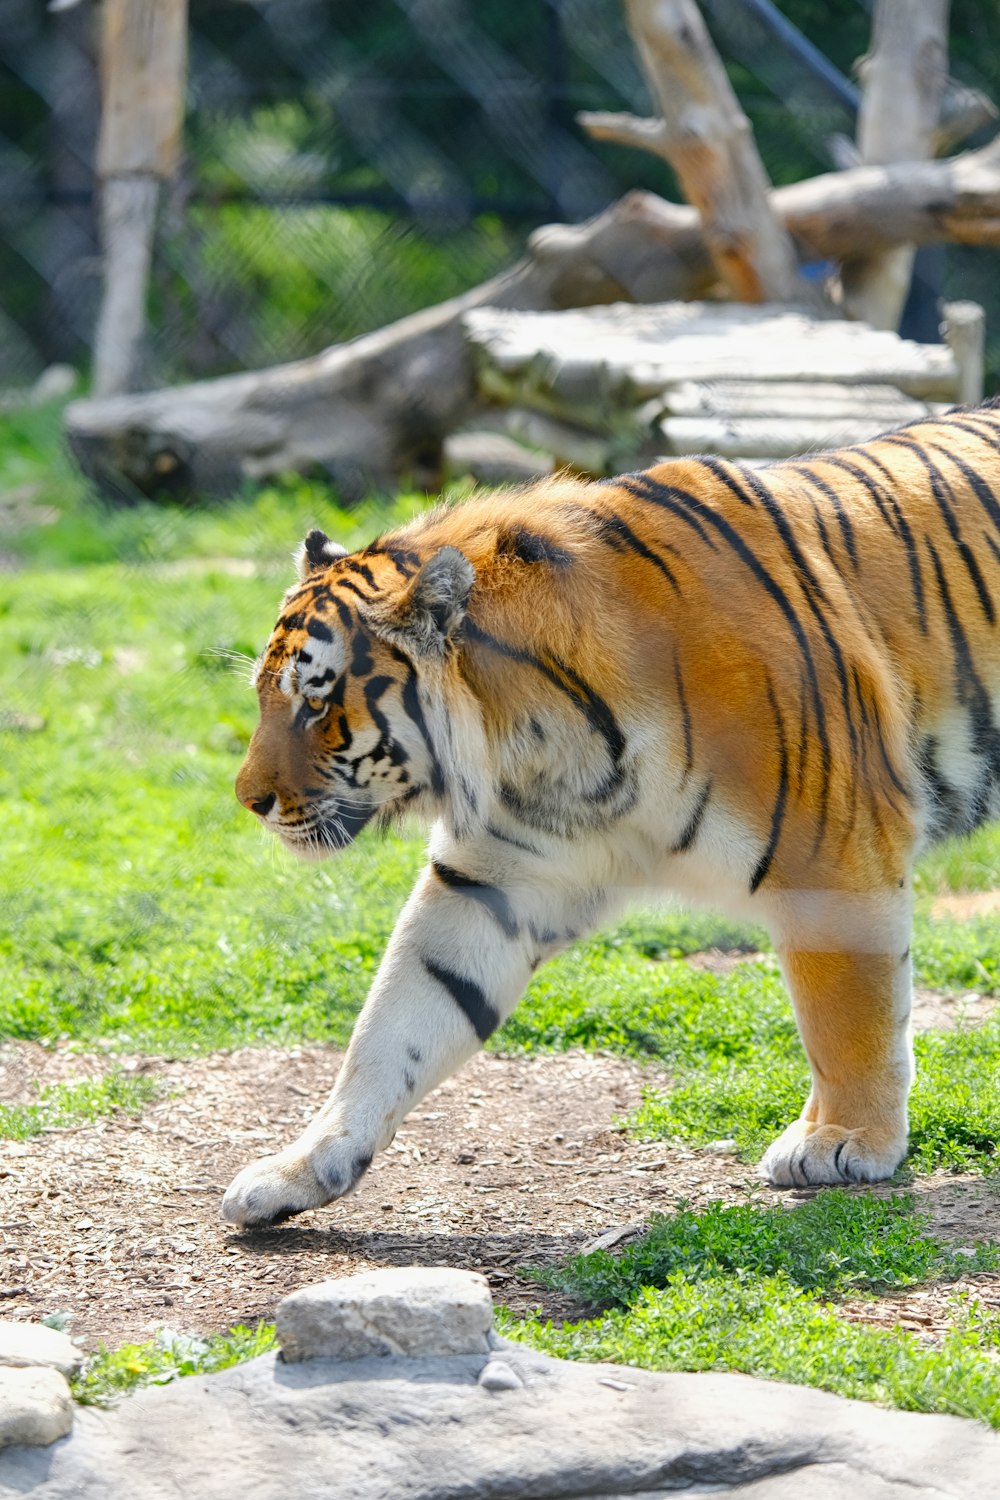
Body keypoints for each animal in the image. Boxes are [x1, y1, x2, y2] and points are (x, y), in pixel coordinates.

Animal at [223, 399, 1000, 1230]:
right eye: (266, 696)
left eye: (316, 703)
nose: (248, 799)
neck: (543, 744)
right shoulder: (494, 878)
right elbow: (395, 1025)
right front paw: (299, 1169)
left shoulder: (833, 850)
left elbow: (848, 1017)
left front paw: (845, 1141)